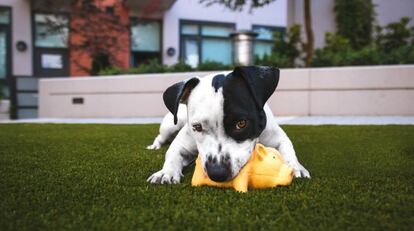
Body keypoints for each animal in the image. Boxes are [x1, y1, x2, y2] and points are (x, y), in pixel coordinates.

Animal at [147, 66, 308, 184]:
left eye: (241, 123)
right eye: (197, 127)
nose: (217, 173)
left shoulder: (278, 138)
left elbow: (288, 150)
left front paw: (295, 167)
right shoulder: (182, 144)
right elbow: (172, 154)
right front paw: (165, 172)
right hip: (171, 125)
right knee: (160, 137)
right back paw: (155, 146)